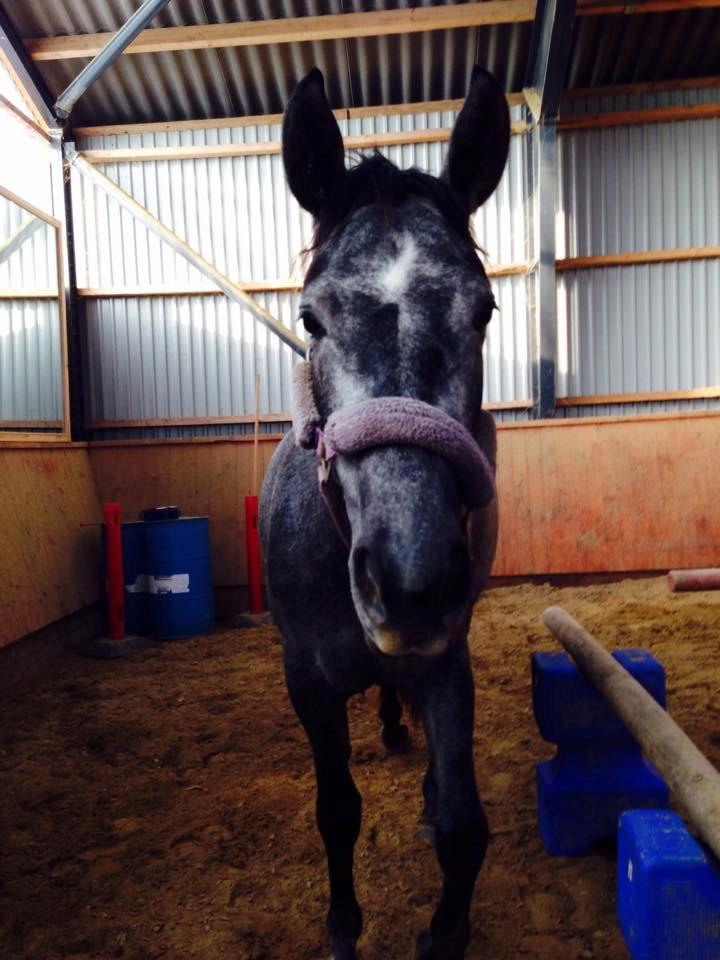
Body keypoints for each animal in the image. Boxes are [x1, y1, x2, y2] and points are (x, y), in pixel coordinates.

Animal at [262, 69, 510, 960]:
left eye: (484, 311)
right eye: (311, 316)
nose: (411, 585)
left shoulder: (447, 656)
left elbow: (465, 828)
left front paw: (446, 932)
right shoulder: (306, 679)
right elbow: (337, 811)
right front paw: (343, 926)